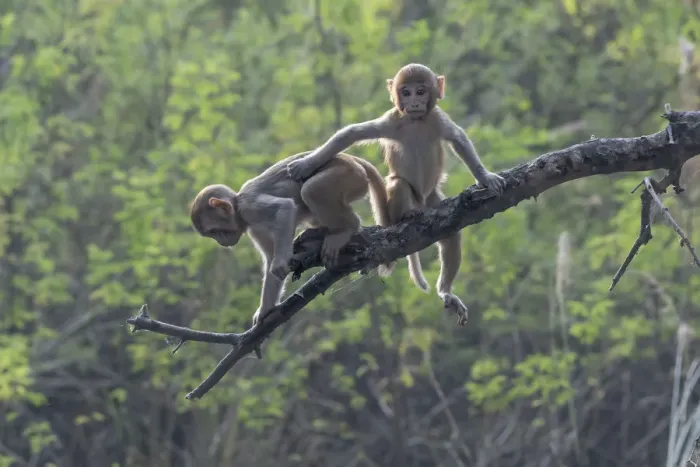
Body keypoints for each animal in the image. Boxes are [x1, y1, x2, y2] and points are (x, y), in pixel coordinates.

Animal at [189, 151, 390, 326]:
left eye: (215, 232)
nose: (222, 243)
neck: (238, 206)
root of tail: (349, 158)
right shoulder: (254, 228)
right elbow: (269, 257)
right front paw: (265, 310)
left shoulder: (250, 208)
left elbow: (285, 209)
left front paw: (279, 264)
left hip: (347, 176)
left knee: (311, 190)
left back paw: (345, 229)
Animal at [286, 63, 507, 325]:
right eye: (406, 92)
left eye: (421, 91)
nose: (414, 103)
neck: (416, 122)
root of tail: (421, 203)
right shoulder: (392, 120)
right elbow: (351, 134)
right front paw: (307, 163)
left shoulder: (437, 118)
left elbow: (459, 139)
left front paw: (485, 177)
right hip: (399, 204)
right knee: (399, 185)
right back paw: (407, 216)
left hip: (432, 198)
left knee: (451, 234)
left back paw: (446, 291)